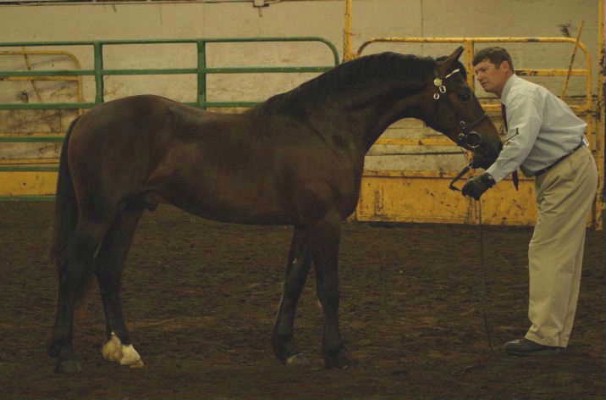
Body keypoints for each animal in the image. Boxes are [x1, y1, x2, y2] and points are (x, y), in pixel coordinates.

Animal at [47, 46, 504, 372]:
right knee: (74, 269)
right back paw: (64, 355)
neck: (325, 128)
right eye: (464, 93)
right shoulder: (325, 222)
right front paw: (336, 354)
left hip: (129, 211)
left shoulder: (304, 223)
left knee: (108, 269)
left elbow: (294, 282)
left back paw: (124, 350)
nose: (492, 144)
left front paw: (286, 349)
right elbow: (328, 288)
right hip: (99, 214)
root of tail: (87, 118)